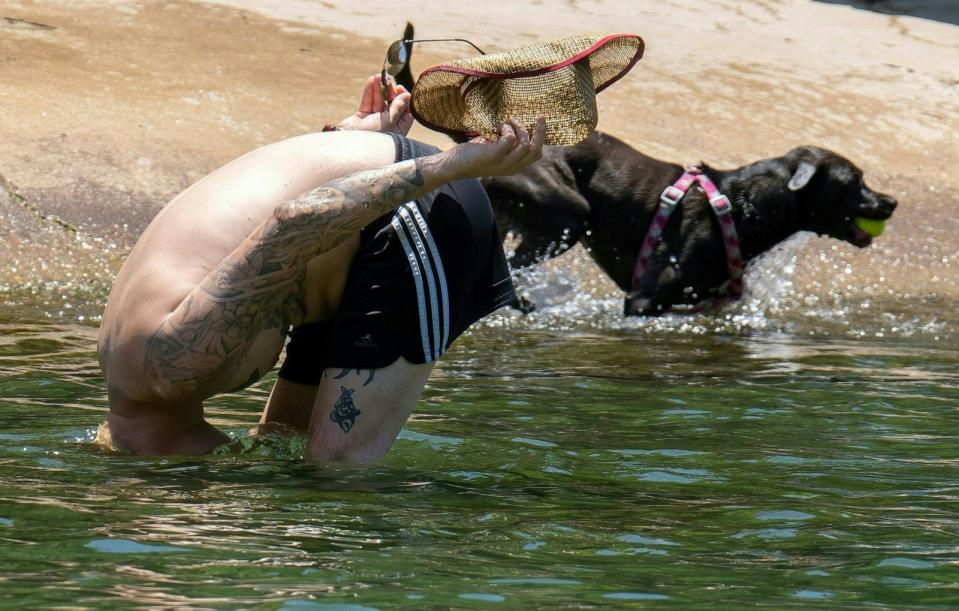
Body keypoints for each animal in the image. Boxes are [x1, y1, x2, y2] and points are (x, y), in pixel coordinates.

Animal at [394, 26, 896, 318]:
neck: (742, 205)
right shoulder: (643, 301)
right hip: (565, 213)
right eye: (854, 182)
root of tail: (483, 132)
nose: (891, 202)